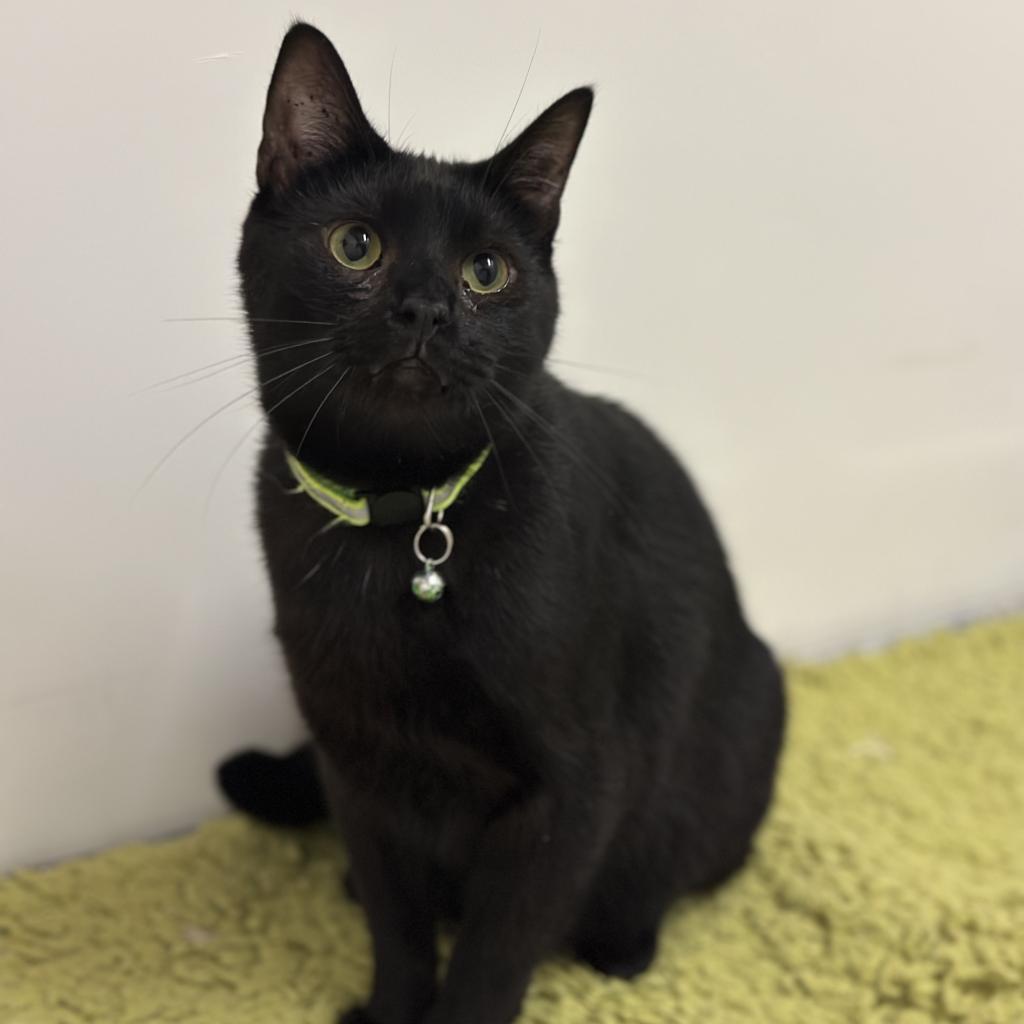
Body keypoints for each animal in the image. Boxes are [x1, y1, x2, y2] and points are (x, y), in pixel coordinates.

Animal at [218, 24, 782, 1024]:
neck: (402, 521)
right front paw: (389, 1009)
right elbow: (399, 928)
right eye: (355, 245)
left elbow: (492, 955)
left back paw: (624, 940)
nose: (427, 308)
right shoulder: (357, 766)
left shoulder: (572, 788)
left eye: (487, 272)